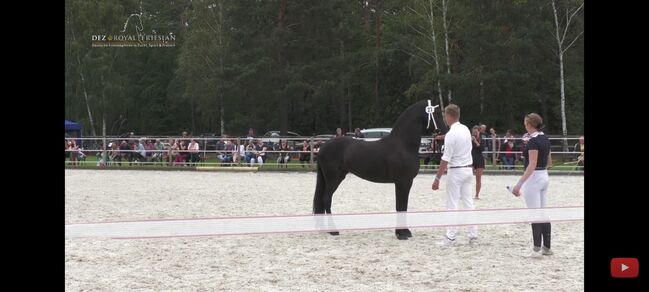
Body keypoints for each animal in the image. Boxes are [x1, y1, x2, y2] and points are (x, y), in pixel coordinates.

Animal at [312, 100, 446, 240]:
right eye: (436, 114)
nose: (445, 132)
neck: (403, 145)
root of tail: (322, 147)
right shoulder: (403, 182)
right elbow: (401, 206)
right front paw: (401, 234)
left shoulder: (404, 182)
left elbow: (402, 206)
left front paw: (404, 232)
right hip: (333, 179)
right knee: (326, 199)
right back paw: (333, 231)